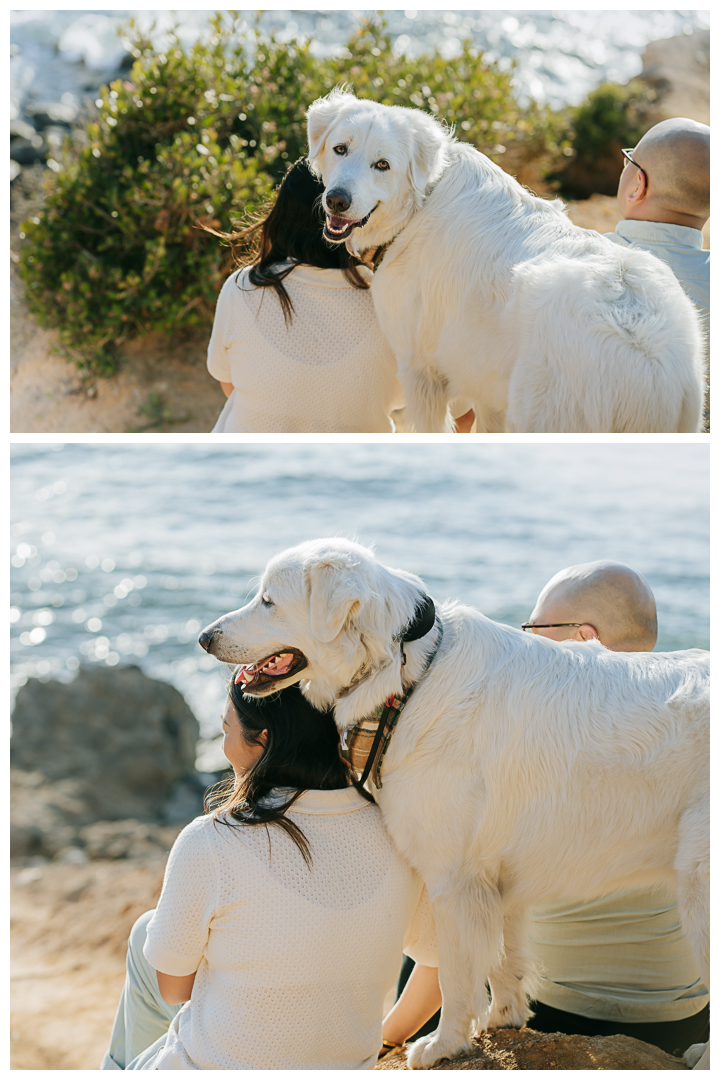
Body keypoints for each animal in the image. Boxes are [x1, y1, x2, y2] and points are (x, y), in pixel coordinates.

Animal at [201, 540, 708, 1071]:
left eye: (268, 601)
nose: (202, 638)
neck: (407, 674)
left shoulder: (453, 879)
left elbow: (455, 975)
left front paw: (445, 1045)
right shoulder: (501, 880)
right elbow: (504, 961)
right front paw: (503, 1020)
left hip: (699, 889)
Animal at [306, 90, 703, 432]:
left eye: (382, 165)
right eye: (340, 149)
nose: (337, 200)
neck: (420, 204)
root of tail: (647, 355)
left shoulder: (420, 373)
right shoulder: (485, 383)